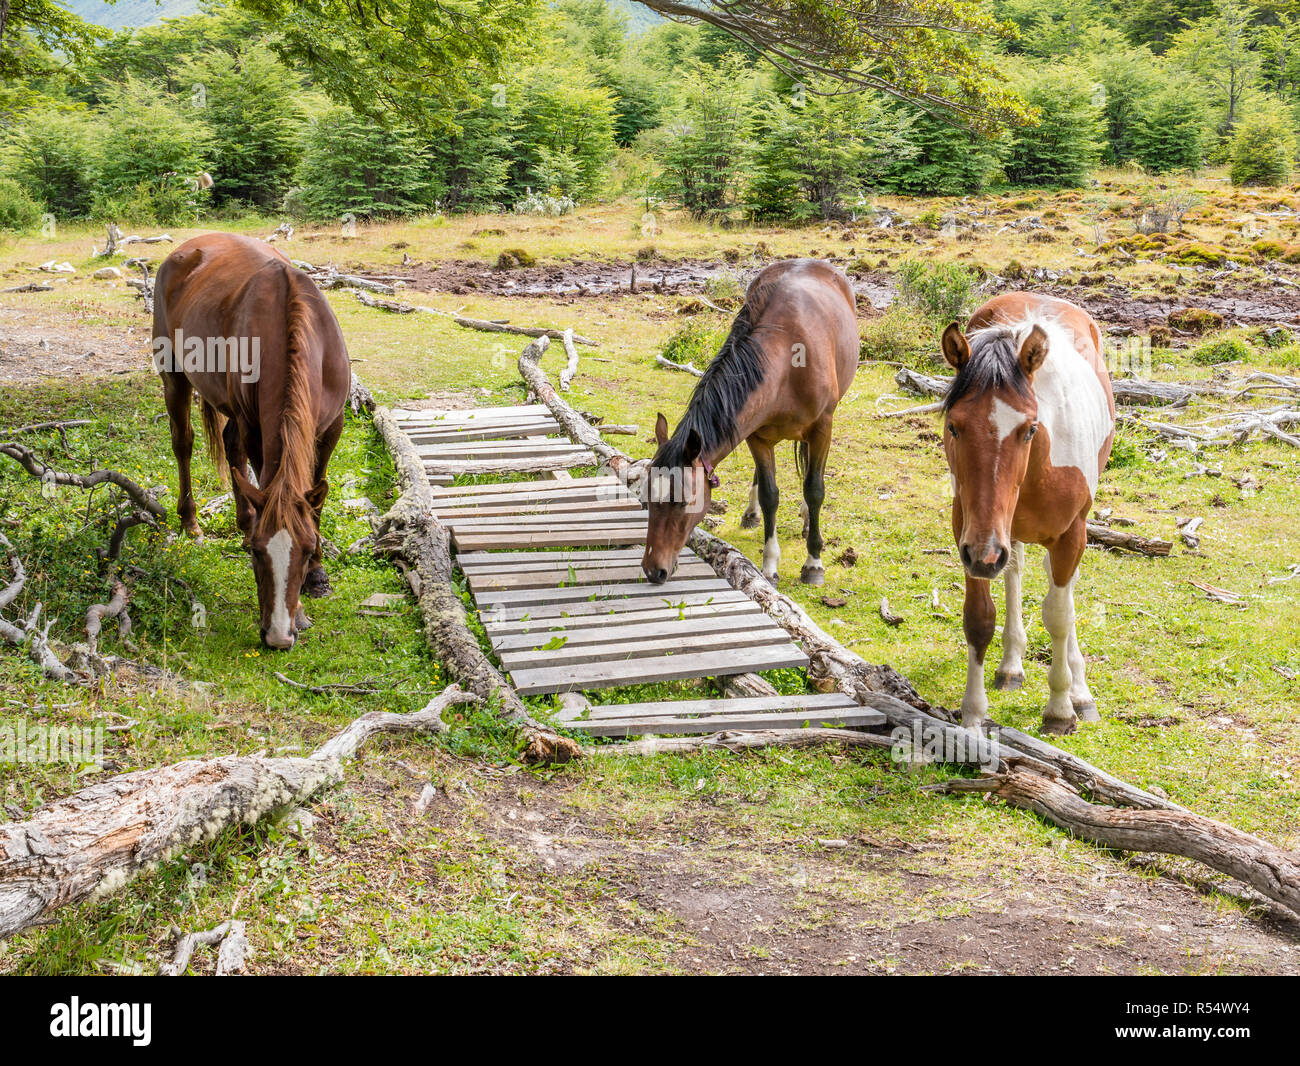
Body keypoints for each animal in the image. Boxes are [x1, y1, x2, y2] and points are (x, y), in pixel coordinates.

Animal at [153, 233, 350, 650]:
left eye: (304, 551)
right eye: (261, 556)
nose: (277, 635)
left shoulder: (332, 428)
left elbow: (316, 500)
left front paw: (318, 574)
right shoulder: (258, 430)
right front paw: (298, 611)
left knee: (230, 447)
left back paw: (242, 521)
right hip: (174, 376)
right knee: (184, 443)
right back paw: (191, 521)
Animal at [641, 259, 858, 587]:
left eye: (682, 502)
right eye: (647, 499)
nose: (654, 570)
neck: (787, 367)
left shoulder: (822, 428)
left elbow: (814, 489)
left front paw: (813, 563)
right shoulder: (756, 435)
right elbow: (770, 495)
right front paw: (769, 565)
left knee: (811, 473)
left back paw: (809, 521)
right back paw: (752, 514)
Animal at [939, 292, 1115, 735]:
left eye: (1030, 430)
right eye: (954, 426)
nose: (985, 553)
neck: (1039, 468)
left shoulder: (1070, 537)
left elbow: (1059, 615)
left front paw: (1060, 709)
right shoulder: (969, 533)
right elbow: (979, 618)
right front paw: (973, 714)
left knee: (1061, 594)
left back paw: (1080, 691)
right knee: (1014, 570)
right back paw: (1011, 666)